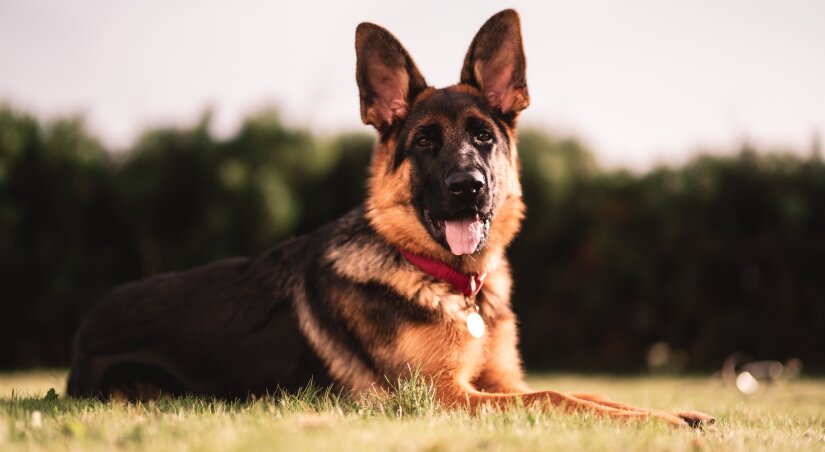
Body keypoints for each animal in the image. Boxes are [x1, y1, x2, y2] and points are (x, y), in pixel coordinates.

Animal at [67, 9, 712, 428]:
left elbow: (592, 394)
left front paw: (678, 413)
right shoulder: (449, 397)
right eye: (424, 143)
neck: (451, 283)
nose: (468, 188)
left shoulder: (501, 382)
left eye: (483, 136)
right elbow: (558, 399)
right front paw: (665, 425)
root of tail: (85, 325)